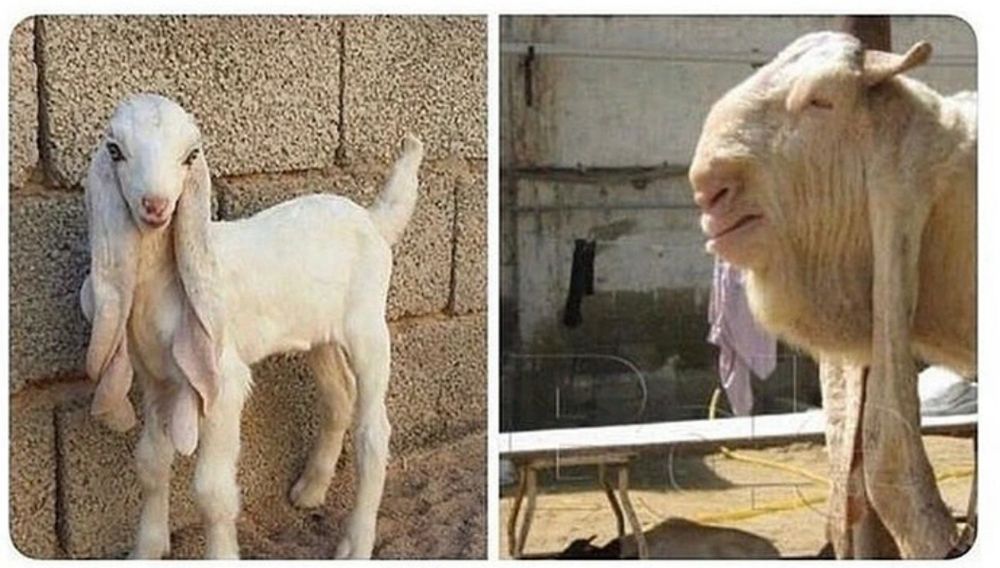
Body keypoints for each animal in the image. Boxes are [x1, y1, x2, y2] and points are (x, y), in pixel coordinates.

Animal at [79, 93, 423, 559]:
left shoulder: (221, 379)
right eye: (114, 150)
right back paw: (310, 491)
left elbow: (212, 492)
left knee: (373, 433)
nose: (156, 206)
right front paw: (145, 550)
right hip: (319, 334)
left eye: (191, 156)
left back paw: (355, 544)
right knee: (339, 397)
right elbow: (150, 463)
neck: (164, 281)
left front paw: (220, 553)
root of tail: (373, 220)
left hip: (368, 325)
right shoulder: (157, 379)